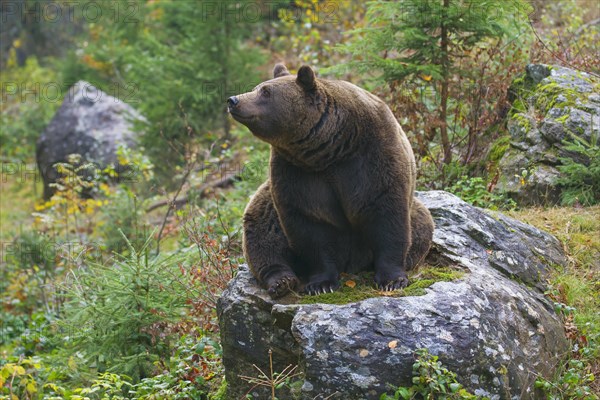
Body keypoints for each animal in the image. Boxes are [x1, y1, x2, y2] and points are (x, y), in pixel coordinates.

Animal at [227, 65, 434, 296]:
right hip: (267, 202)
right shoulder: (298, 173)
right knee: (263, 234)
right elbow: (312, 226)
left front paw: (391, 279)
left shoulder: (373, 157)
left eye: (265, 92)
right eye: (257, 88)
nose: (233, 100)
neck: (330, 147)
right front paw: (321, 284)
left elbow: (387, 214)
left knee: (422, 223)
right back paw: (281, 281)